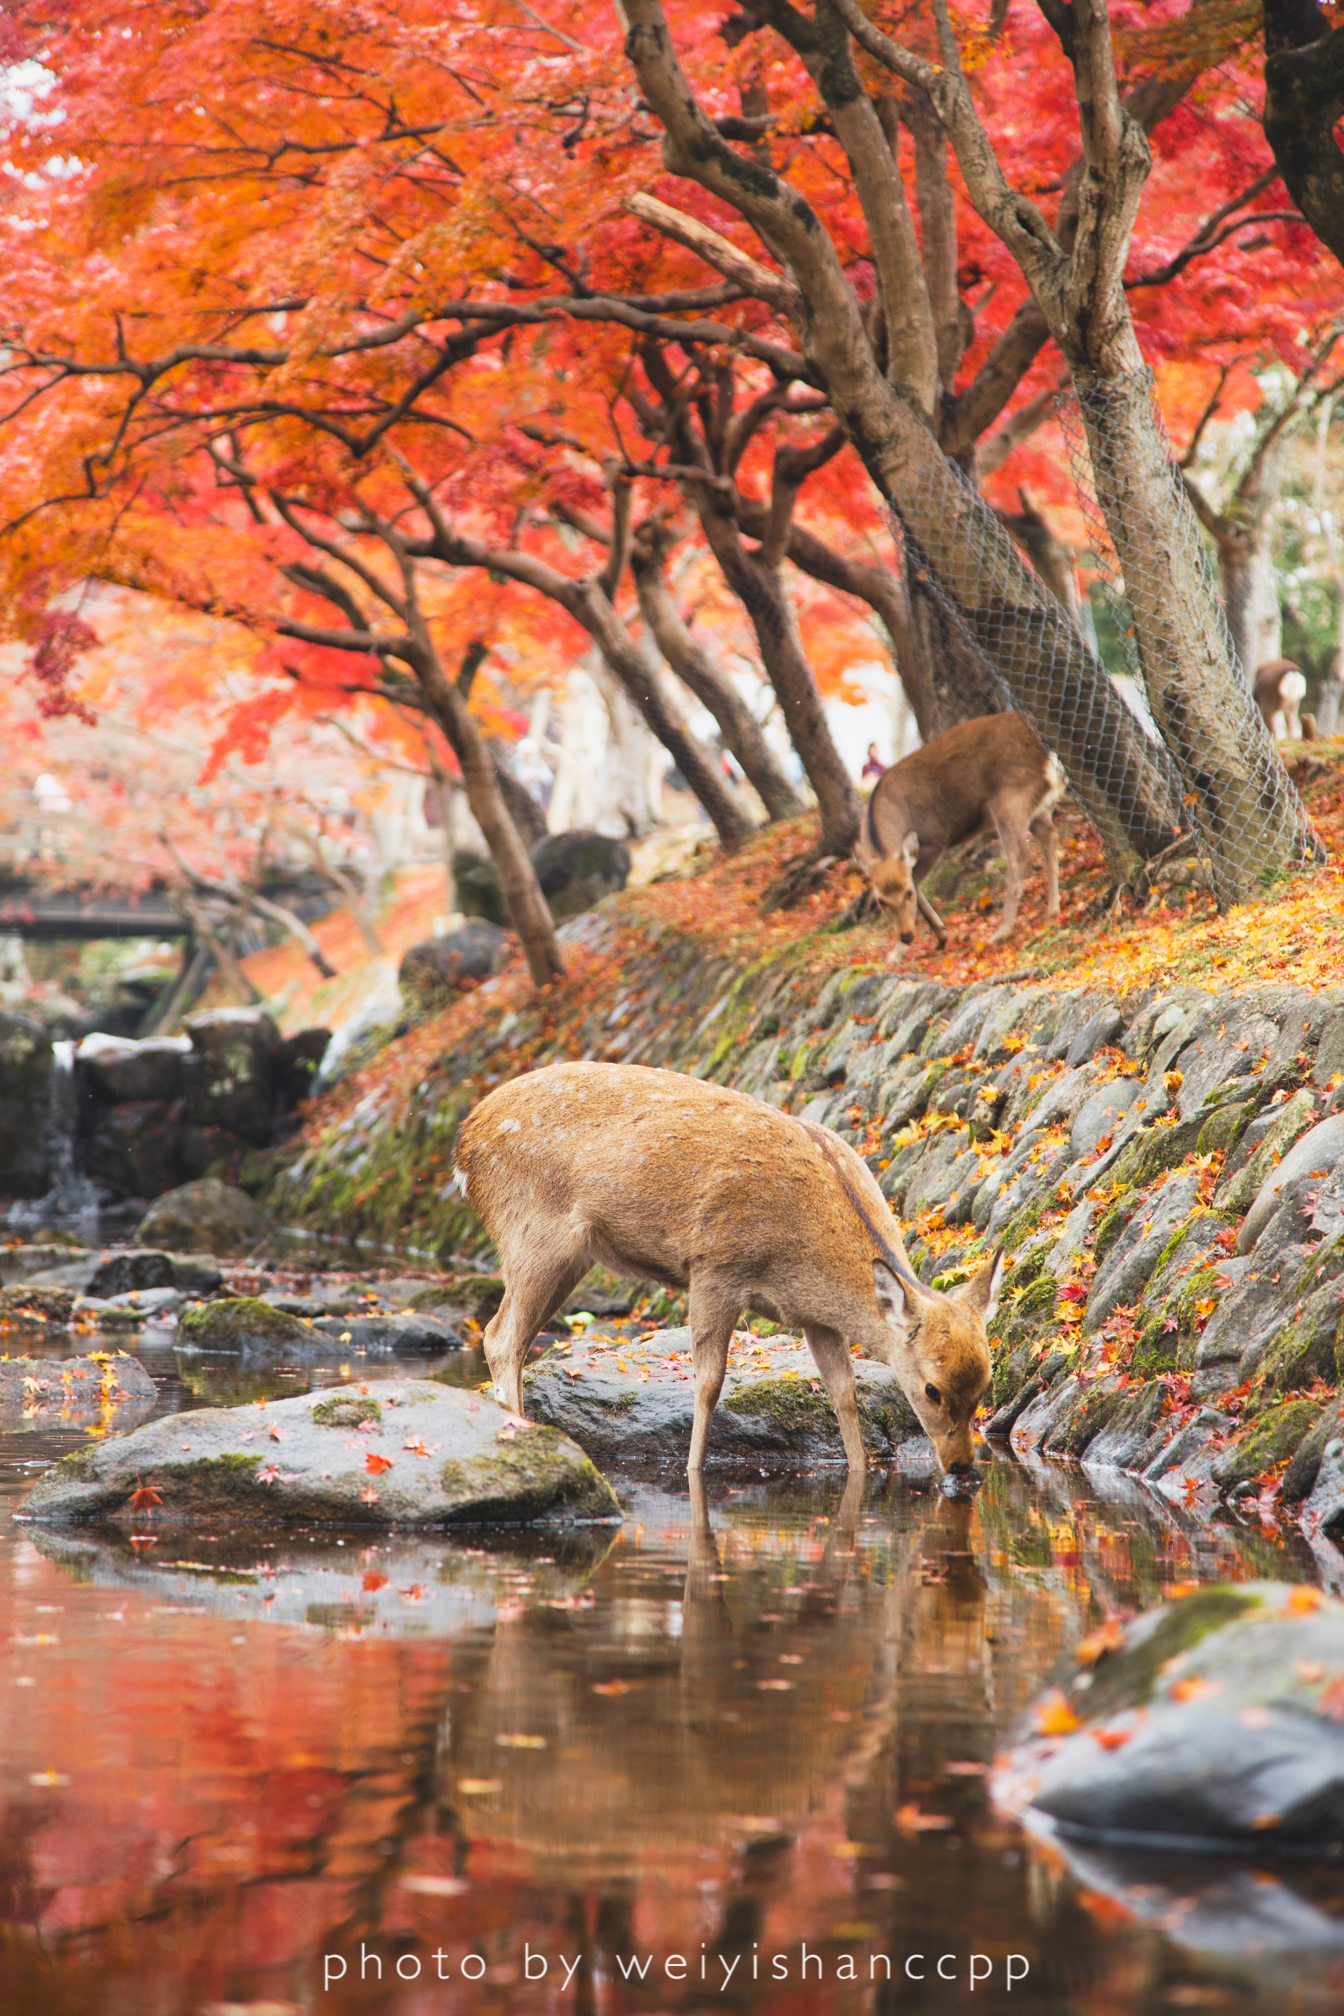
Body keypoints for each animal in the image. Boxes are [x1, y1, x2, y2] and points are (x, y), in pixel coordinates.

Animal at [457, 1064, 1003, 1491]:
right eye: (932, 1389)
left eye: (986, 1385)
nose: (962, 1467)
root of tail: (464, 1143)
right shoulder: (715, 1267)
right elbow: (709, 1383)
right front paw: (693, 1471)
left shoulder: (813, 1317)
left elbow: (843, 1392)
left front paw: (859, 1469)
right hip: (532, 1233)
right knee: (501, 1337)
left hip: (569, 1255)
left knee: (510, 1337)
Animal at [858, 717, 1063, 951]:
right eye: (881, 901)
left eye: (908, 893)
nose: (907, 936)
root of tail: (1048, 755)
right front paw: (938, 936)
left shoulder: (934, 840)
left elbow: (916, 881)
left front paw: (935, 937)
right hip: (1034, 805)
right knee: (1050, 835)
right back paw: (1053, 909)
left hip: (1009, 800)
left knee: (1019, 858)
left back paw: (1001, 931)